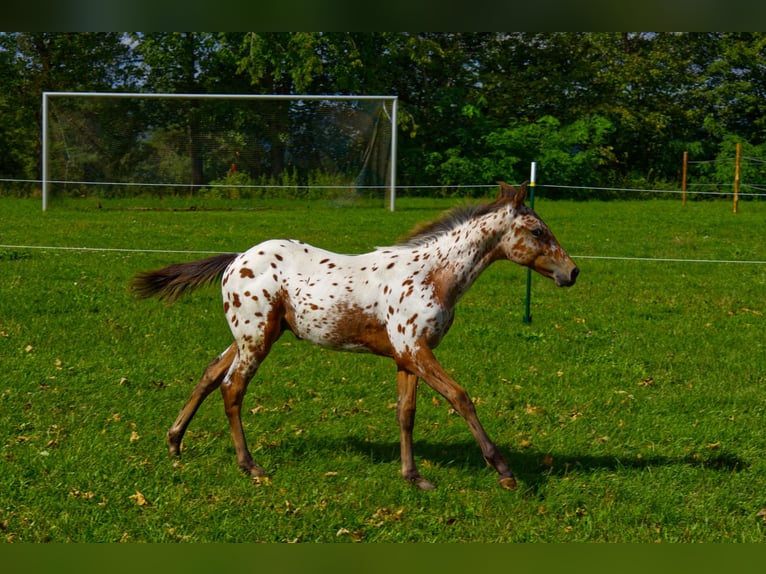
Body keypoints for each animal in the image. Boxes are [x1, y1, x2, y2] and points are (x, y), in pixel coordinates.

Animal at [131, 181, 579, 490]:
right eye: (537, 231)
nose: (572, 272)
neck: (433, 275)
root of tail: (235, 259)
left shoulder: (407, 356)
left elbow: (406, 414)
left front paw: (414, 477)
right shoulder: (415, 349)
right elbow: (460, 396)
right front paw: (502, 469)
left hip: (253, 337)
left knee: (210, 374)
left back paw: (174, 443)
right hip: (256, 339)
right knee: (232, 387)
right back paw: (250, 465)